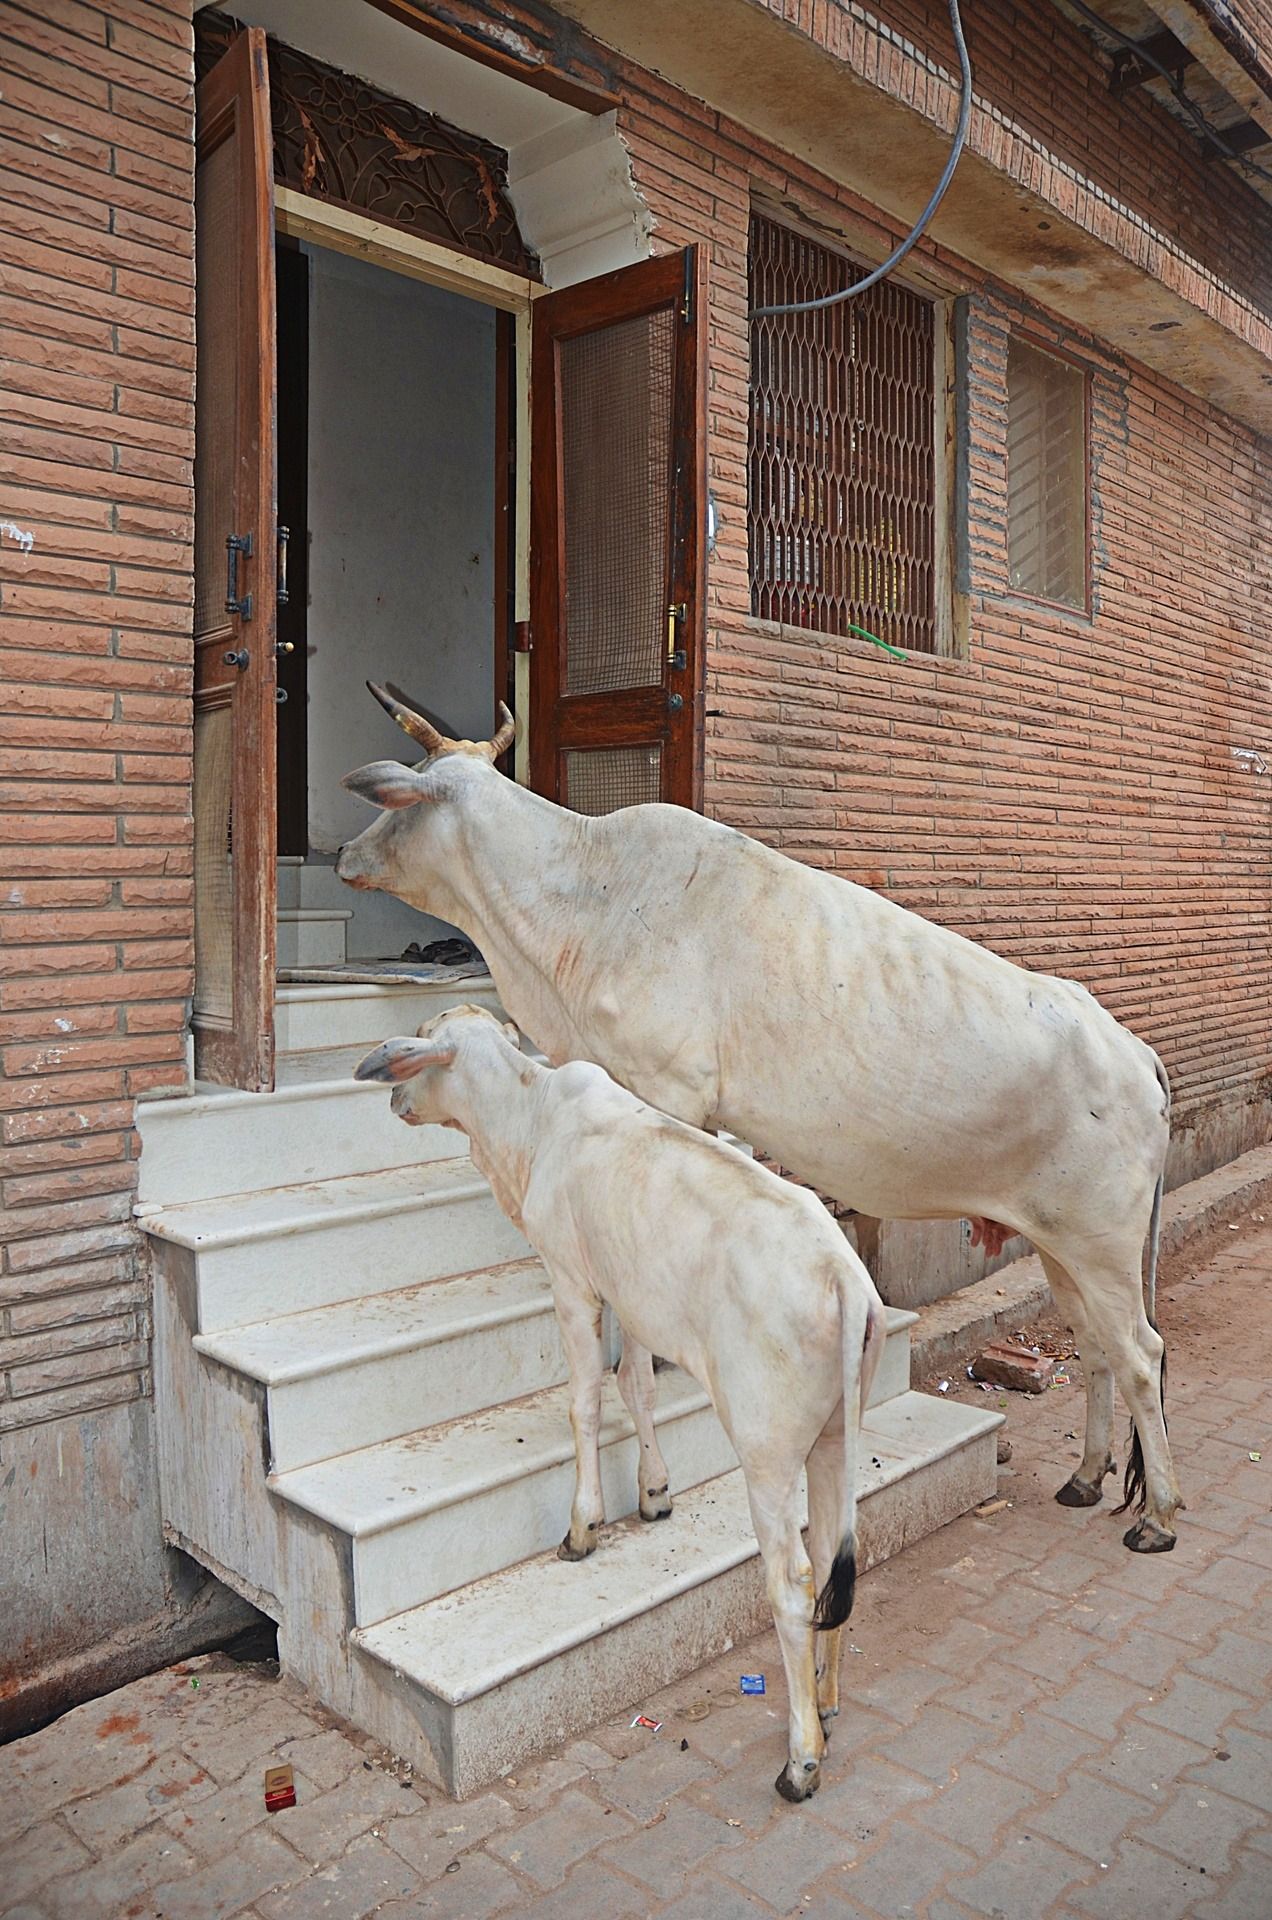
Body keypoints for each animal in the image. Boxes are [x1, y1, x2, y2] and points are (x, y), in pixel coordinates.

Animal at [337, 686, 1180, 1553]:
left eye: (407, 800)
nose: (342, 854)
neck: (584, 897)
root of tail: (1136, 1051)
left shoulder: (668, 1092)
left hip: (1104, 1244)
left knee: (1140, 1352)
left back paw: (1156, 1515)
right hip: (1059, 1244)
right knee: (1094, 1345)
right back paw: (1086, 1477)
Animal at [356, 1003, 889, 1803]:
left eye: (424, 1042)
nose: (393, 1098)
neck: (531, 1117)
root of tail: (843, 1274)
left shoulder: (574, 1283)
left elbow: (583, 1401)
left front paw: (584, 1525)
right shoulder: (631, 1294)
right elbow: (637, 1385)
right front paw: (655, 1492)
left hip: (766, 1454)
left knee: (793, 1586)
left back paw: (801, 1759)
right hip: (833, 1437)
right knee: (831, 1560)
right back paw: (825, 1704)